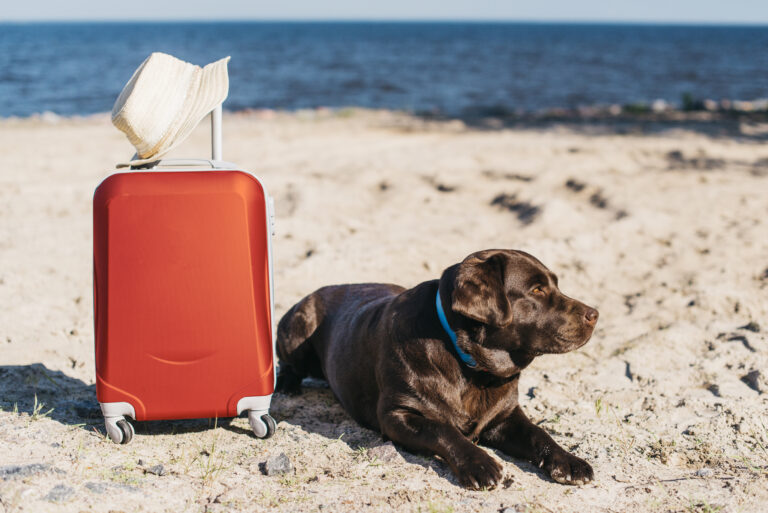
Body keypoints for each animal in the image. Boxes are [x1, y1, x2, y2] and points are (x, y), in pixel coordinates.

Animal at [276, 248, 600, 488]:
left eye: (554, 285)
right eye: (536, 290)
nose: (594, 314)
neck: (472, 367)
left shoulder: (504, 416)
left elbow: (538, 434)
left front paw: (569, 462)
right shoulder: (396, 415)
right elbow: (441, 428)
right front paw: (479, 463)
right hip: (298, 327)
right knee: (287, 363)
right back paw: (286, 387)